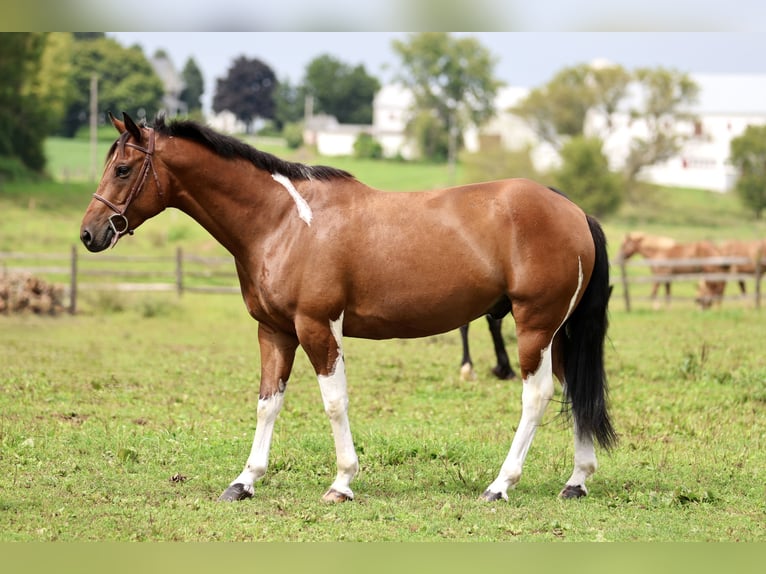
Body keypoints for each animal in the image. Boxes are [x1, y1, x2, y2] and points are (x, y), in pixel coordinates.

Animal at [80, 113, 615, 503]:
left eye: (123, 169)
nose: (90, 233)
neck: (282, 222)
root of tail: (573, 210)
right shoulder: (274, 331)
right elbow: (267, 402)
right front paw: (245, 481)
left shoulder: (317, 327)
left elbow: (334, 402)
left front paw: (341, 482)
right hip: (559, 334)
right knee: (574, 391)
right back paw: (577, 481)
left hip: (534, 327)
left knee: (537, 396)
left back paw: (500, 485)